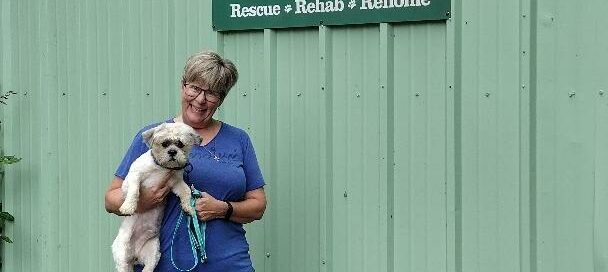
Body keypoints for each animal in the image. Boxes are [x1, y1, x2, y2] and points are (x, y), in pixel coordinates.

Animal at [111, 122, 202, 272]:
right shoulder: (134, 176)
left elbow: (186, 192)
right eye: (164, 144)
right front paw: (129, 207)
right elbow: (134, 191)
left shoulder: (176, 183)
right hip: (122, 255)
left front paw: (188, 207)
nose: (172, 152)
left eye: (180, 144)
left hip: (153, 252)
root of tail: (135, 255)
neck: (162, 168)